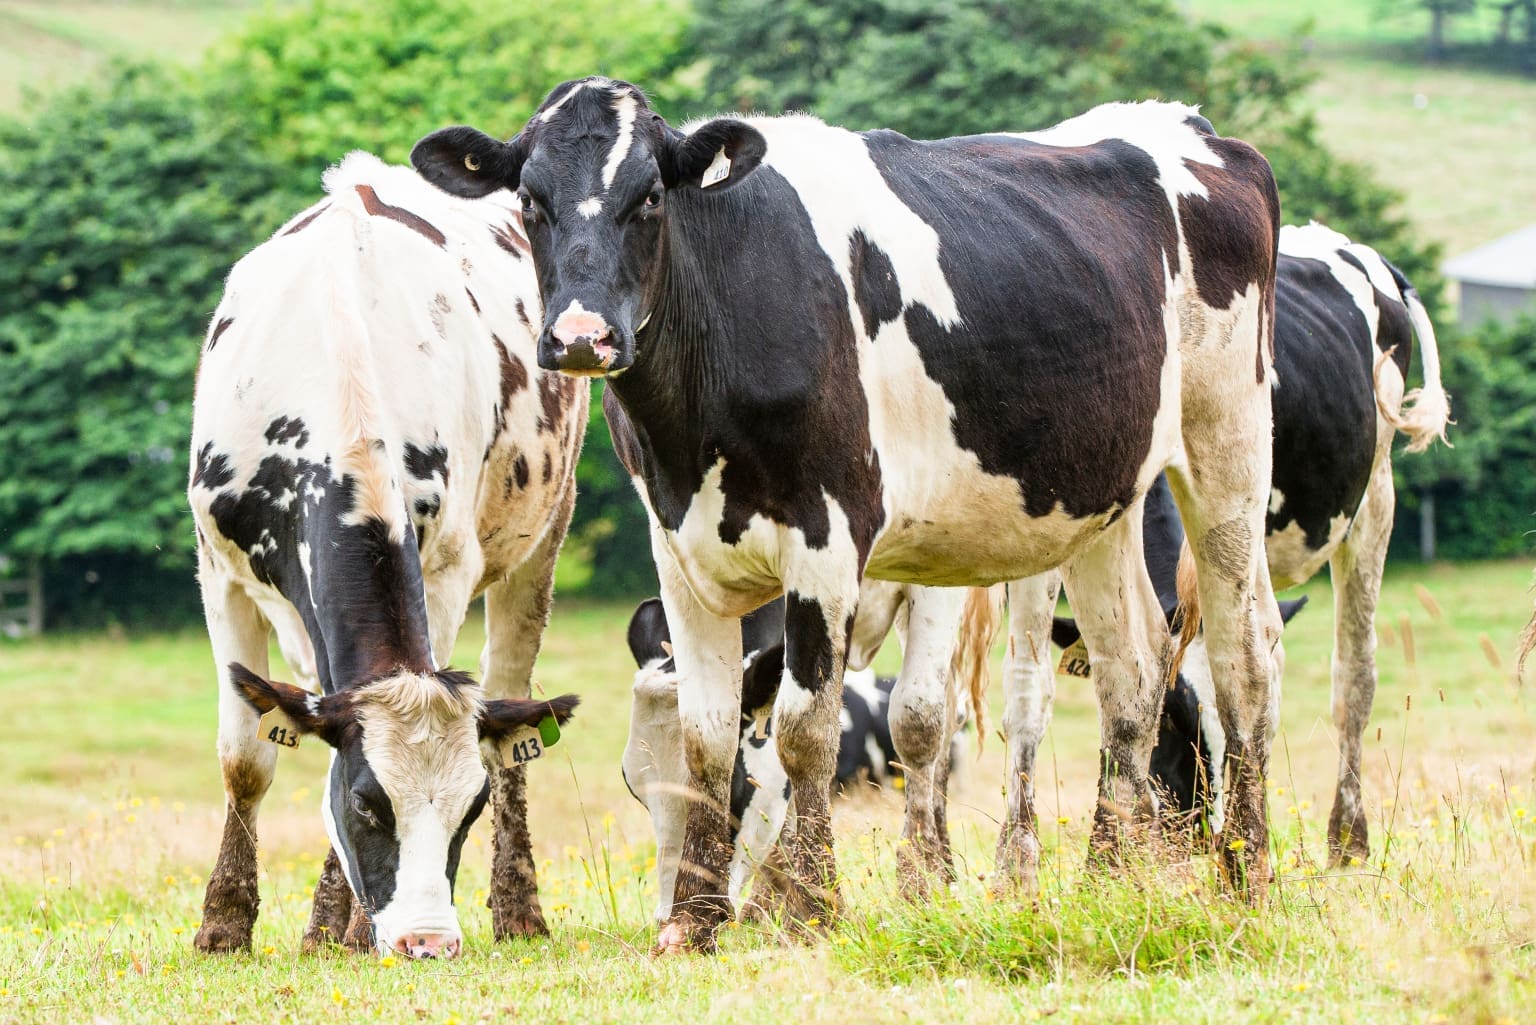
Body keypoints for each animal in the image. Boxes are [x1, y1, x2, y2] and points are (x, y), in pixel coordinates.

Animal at [187, 152, 585, 959]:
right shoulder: (221, 573)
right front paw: (224, 921)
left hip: (544, 536)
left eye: (469, 809)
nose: (426, 941)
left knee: (513, 715)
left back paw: (512, 907)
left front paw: (340, 927)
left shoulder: (447, 569)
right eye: (368, 802)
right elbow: (247, 754)